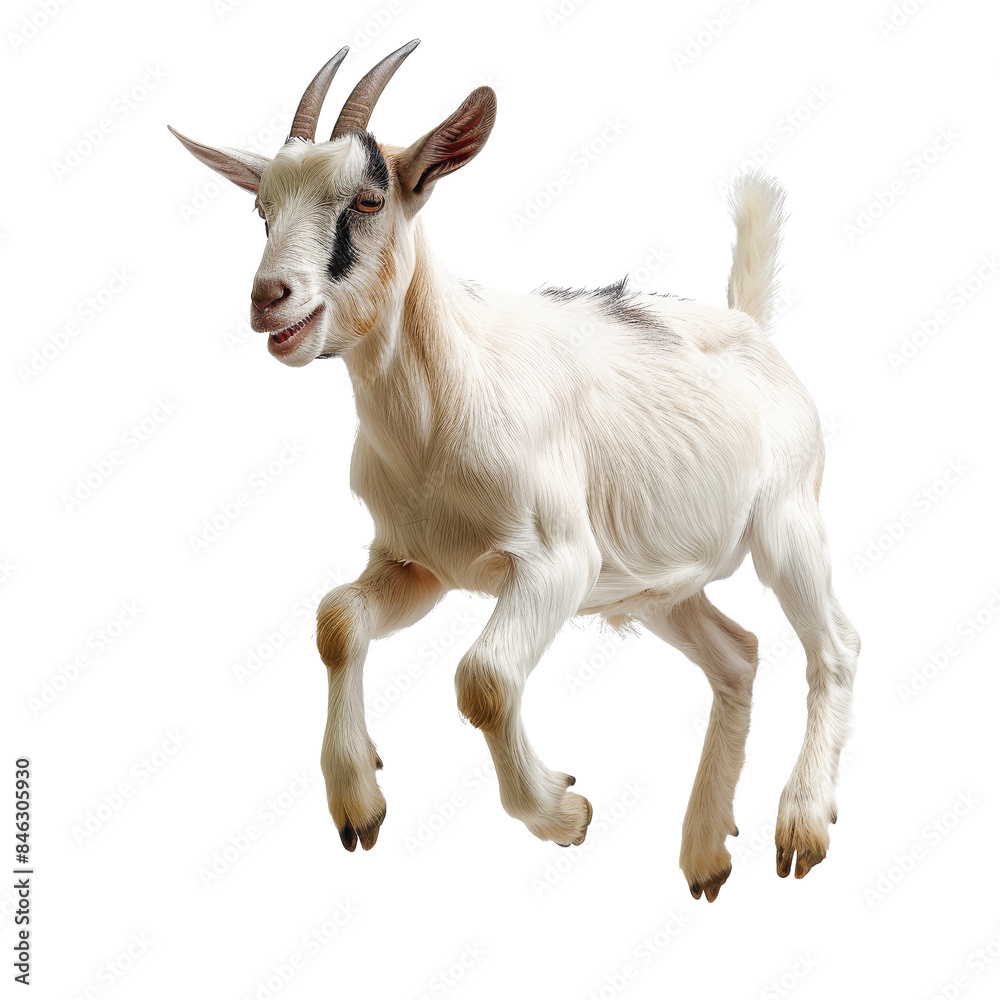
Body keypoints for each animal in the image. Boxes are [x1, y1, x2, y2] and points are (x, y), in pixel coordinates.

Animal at [170, 39, 859, 901]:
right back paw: (706, 850)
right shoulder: (418, 563)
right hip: (656, 582)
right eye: (262, 211)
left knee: (834, 647)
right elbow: (337, 619)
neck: (444, 402)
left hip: (787, 519)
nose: (270, 298)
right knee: (738, 656)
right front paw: (359, 802)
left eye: (367, 199)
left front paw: (564, 813)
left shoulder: (556, 561)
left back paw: (801, 826)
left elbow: (485, 679)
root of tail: (749, 325)